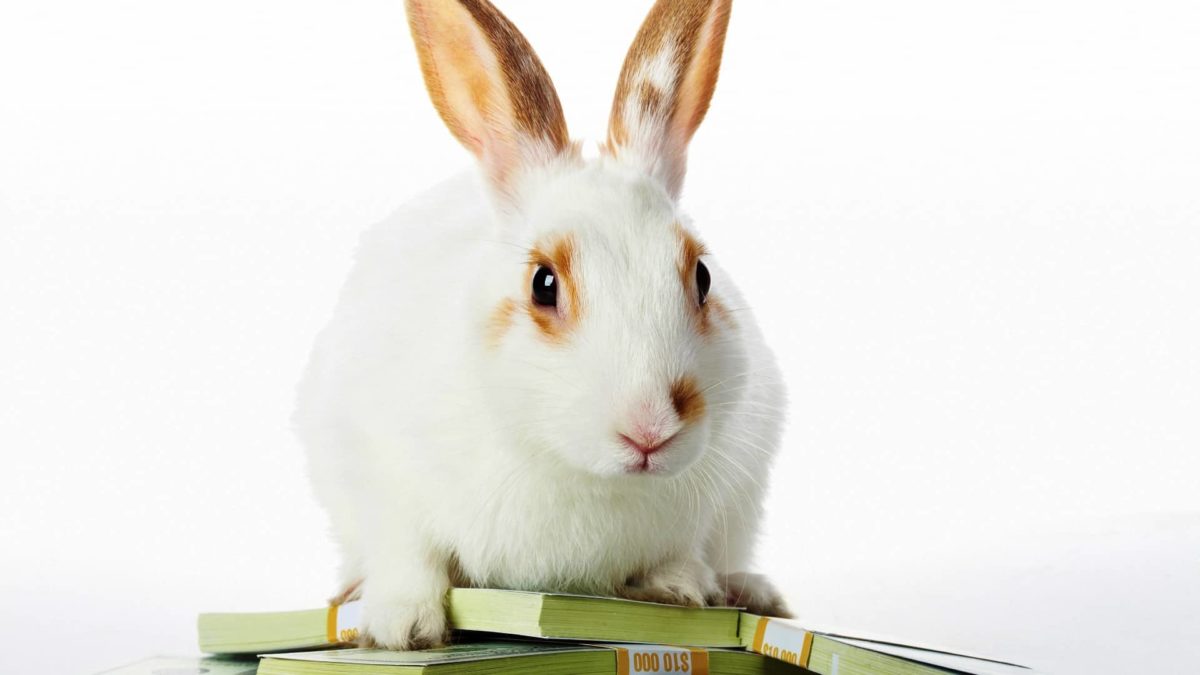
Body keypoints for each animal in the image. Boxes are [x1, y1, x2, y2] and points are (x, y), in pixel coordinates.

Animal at [294, 0, 790, 650]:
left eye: (703, 277)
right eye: (543, 284)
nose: (649, 429)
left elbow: (679, 553)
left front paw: (679, 587)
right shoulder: (372, 462)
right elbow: (409, 553)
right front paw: (403, 627)